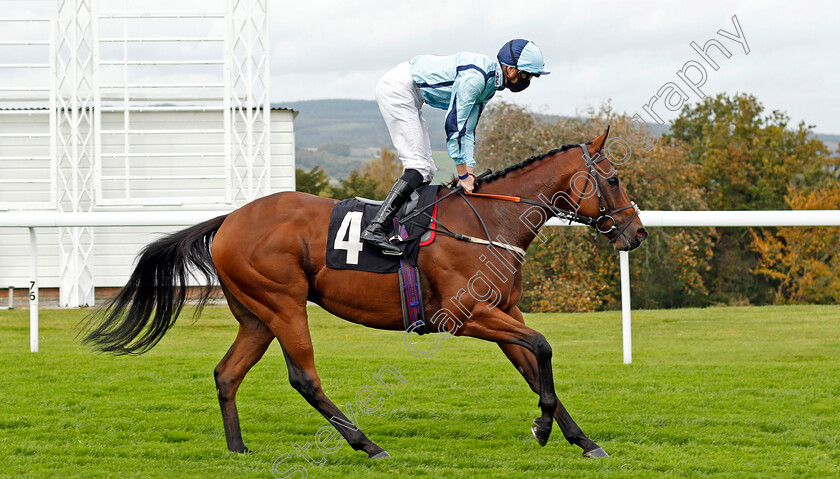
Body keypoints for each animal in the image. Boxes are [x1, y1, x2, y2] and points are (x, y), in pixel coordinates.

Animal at [83, 127, 648, 462]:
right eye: (615, 178)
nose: (637, 232)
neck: (488, 222)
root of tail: (229, 219)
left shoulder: (504, 311)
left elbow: (535, 366)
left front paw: (580, 438)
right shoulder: (463, 314)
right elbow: (544, 348)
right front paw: (544, 428)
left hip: (257, 316)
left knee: (227, 373)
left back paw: (239, 448)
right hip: (284, 304)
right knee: (303, 377)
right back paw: (366, 443)